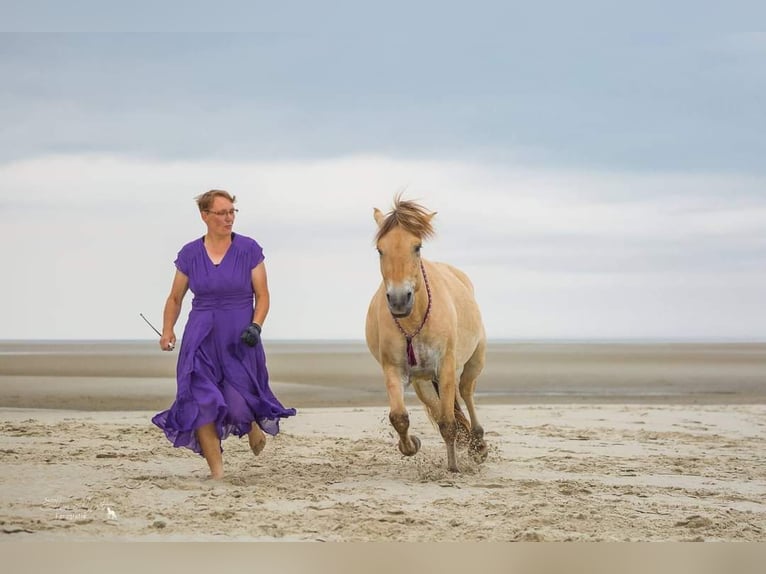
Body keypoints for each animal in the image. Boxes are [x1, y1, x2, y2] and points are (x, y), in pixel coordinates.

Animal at [364, 198, 486, 472]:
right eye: (380, 250)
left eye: (417, 247)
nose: (399, 300)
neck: (413, 321)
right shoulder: (393, 369)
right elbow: (399, 417)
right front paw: (411, 446)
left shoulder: (447, 367)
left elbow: (449, 423)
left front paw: (453, 468)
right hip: (424, 384)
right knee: (441, 409)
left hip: (473, 361)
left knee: (466, 392)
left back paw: (478, 444)